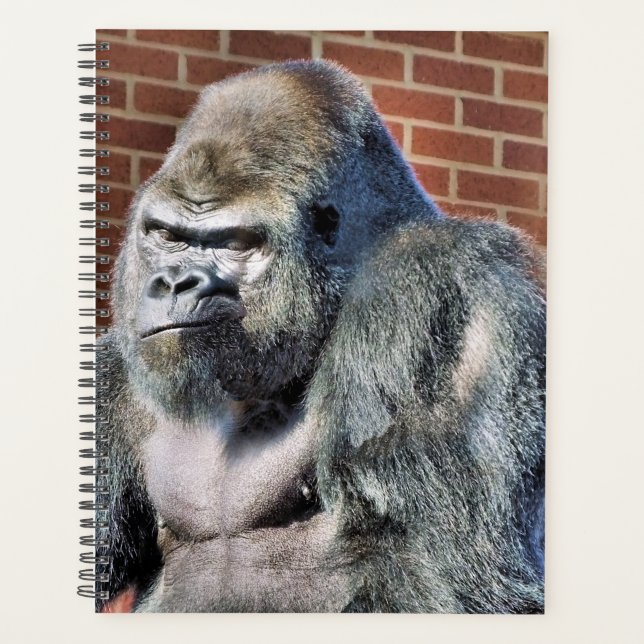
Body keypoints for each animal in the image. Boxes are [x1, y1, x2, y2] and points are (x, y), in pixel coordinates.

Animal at [96, 59, 545, 613]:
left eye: (237, 243)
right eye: (165, 235)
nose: (177, 282)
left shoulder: (438, 283)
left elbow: (464, 580)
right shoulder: (111, 378)